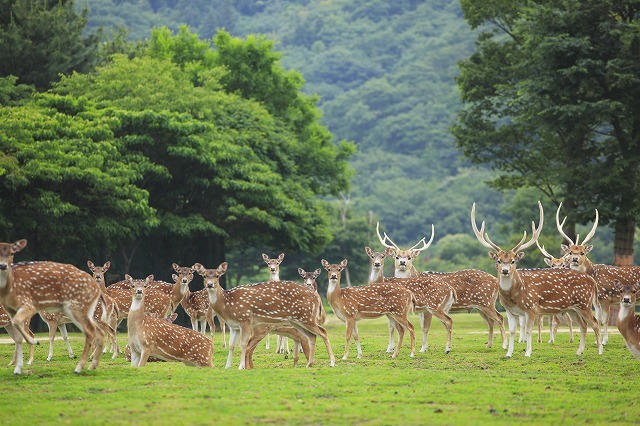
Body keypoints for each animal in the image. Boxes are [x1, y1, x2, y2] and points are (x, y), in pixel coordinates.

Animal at [0, 241, 106, 374]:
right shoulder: (61, 322)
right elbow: (65, 336)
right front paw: (71, 355)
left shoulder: (53, 320)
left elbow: (51, 337)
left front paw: (49, 357)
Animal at [196, 262, 336, 368]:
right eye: (203, 276)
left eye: (218, 275)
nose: (210, 284)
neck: (227, 304)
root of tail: (316, 296)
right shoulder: (234, 326)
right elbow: (232, 346)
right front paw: (227, 367)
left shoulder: (245, 319)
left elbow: (243, 344)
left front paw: (241, 367)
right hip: (297, 321)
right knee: (312, 336)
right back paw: (309, 364)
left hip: (306, 317)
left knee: (323, 332)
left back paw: (332, 363)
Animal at [376, 221, 504, 352]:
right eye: (396, 256)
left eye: (409, 257)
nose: (402, 262)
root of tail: (496, 280)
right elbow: (394, 327)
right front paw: (389, 349)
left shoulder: (426, 309)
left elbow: (425, 327)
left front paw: (423, 348)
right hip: (480, 306)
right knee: (490, 321)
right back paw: (488, 345)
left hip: (486, 302)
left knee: (499, 318)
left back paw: (503, 345)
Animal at [472, 201, 604, 358]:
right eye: (498, 260)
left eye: (513, 261)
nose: (505, 270)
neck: (514, 296)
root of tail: (592, 281)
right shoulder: (510, 311)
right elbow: (512, 331)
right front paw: (508, 353)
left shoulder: (532, 307)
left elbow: (529, 330)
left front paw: (528, 352)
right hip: (573, 308)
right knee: (583, 325)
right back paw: (579, 351)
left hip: (584, 303)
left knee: (595, 322)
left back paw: (600, 350)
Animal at [556, 201, 640, 344]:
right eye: (571, 252)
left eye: (582, 252)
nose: (575, 259)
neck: (594, 274)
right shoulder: (597, 301)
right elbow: (599, 319)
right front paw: (597, 341)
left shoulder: (606, 298)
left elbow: (605, 320)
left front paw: (604, 341)